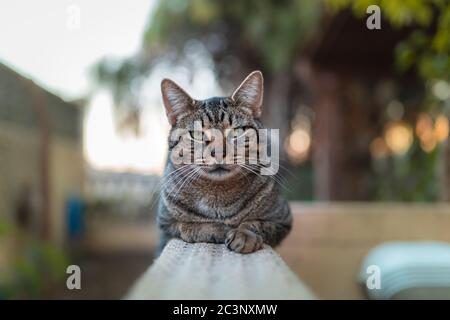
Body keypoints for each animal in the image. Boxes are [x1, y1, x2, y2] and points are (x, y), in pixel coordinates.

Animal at [157, 70, 292, 255]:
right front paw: (217, 229)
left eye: (236, 132)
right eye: (198, 134)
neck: (218, 197)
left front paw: (244, 234)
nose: (219, 152)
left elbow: (257, 223)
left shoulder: (282, 218)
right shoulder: (164, 224)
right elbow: (187, 226)